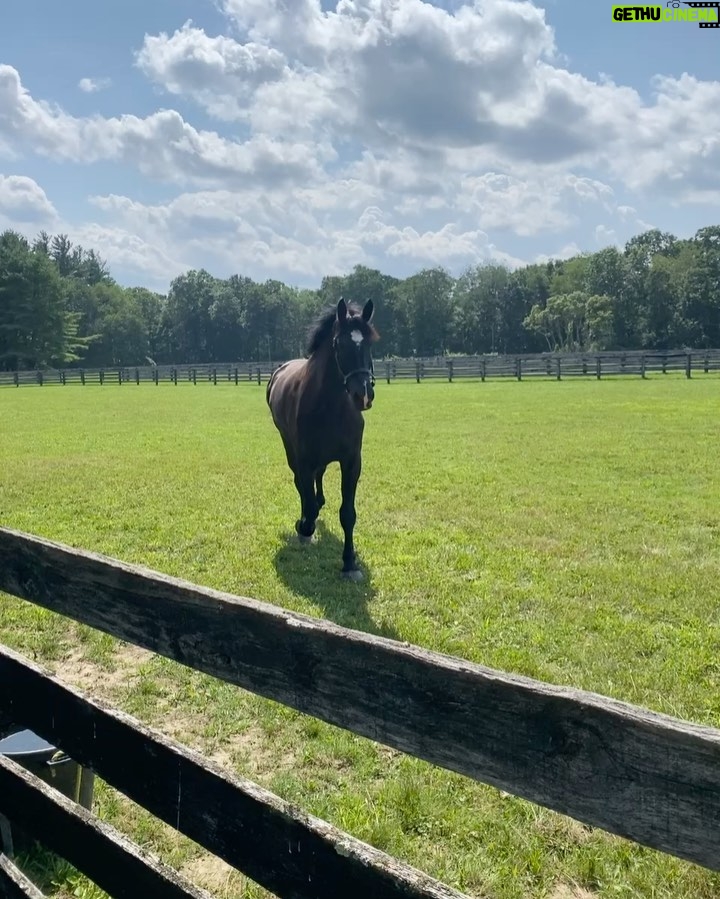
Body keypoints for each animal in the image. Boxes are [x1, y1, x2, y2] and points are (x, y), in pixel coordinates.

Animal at [264, 298, 376, 580]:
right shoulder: (304, 459)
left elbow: (347, 513)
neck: (329, 406)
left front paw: (350, 564)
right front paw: (304, 526)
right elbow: (309, 501)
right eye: (339, 344)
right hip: (288, 445)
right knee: (301, 485)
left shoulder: (351, 462)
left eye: (370, 343)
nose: (363, 395)